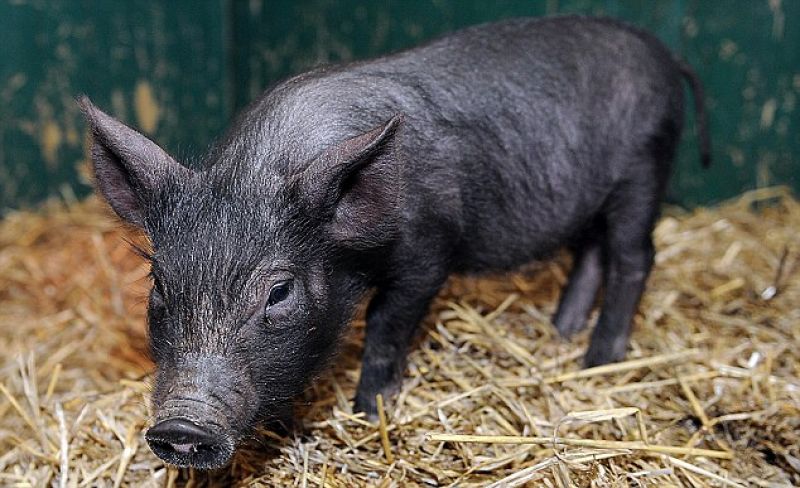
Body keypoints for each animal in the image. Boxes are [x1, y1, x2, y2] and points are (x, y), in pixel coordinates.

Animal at [79, 15, 709, 469]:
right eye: (159, 286)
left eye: (279, 293)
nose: (179, 426)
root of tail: (662, 53)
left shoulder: (427, 254)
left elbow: (385, 328)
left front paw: (369, 414)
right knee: (590, 252)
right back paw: (561, 334)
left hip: (645, 169)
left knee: (634, 256)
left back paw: (597, 360)